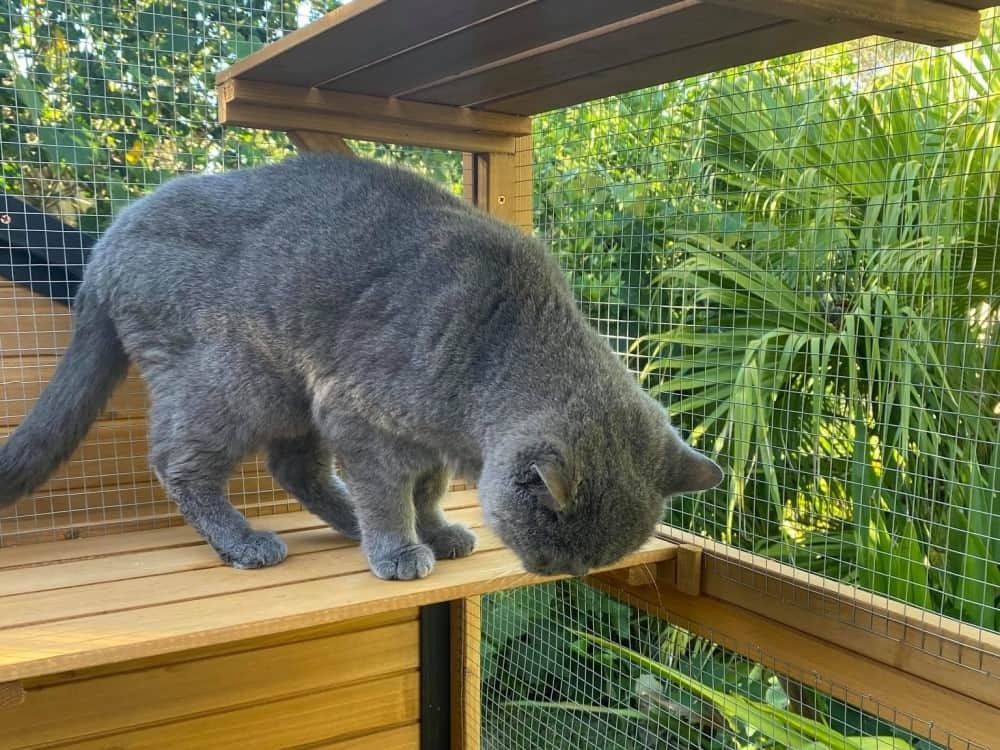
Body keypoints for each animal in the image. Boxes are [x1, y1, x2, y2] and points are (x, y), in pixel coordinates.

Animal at [0, 154, 724, 580]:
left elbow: (424, 491)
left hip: (292, 393)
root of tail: (106, 241)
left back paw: (345, 524)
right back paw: (246, 542)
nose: (552, 575)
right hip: (235, 379)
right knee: (178, 463)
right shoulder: (364, 417)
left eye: (593, 560)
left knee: (292, 467)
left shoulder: (417, 437)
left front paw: (434, 530)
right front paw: (400, 547)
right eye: (551, 544)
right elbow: (387, 492)